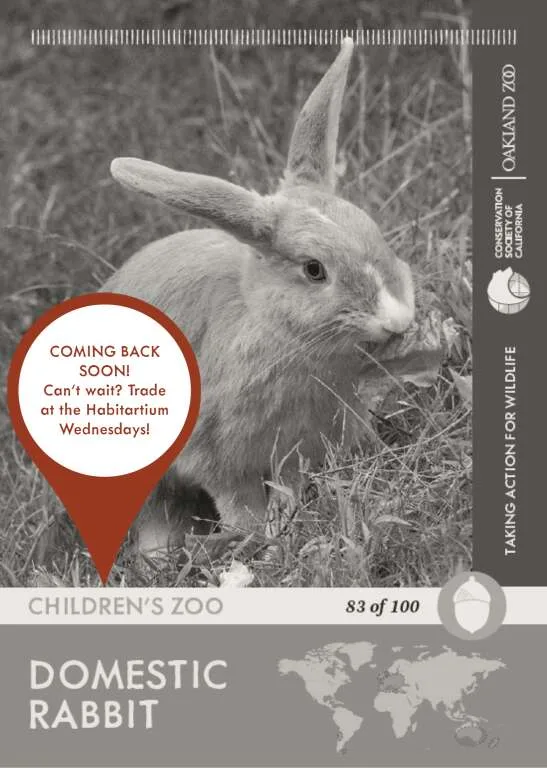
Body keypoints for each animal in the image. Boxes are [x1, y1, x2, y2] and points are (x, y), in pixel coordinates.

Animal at [104, 38, 415, 555]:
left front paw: (283, 525)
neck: (279, 333)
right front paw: (261, 538)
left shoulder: (297, 449)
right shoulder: (216, 458)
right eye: (314, 270)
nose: (398, 319)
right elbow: (238, 503)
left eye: (371, 228)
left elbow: (286, 486)